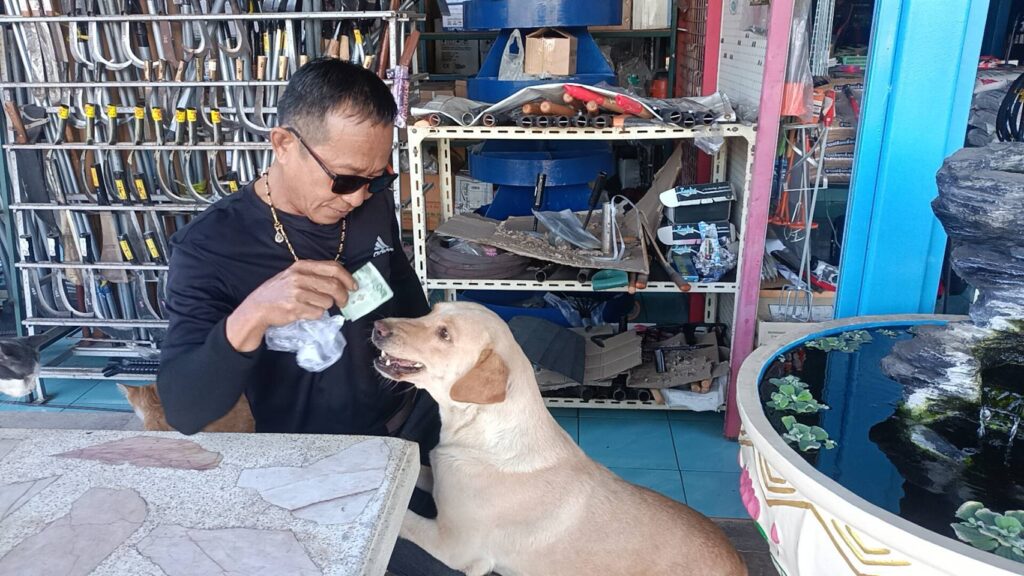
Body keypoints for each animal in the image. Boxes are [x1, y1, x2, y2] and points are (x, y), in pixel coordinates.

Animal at [372, 302, 747, 576]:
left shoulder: (454, 546)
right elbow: (418, 473)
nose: (377, 326)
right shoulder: (438, 474)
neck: (478, 428)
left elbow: (402, 519)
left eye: (444, 334)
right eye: (430, 311)